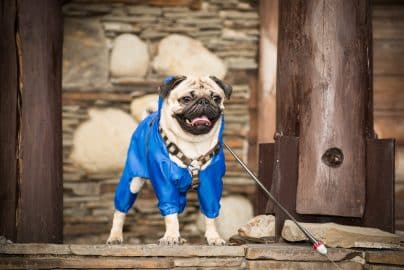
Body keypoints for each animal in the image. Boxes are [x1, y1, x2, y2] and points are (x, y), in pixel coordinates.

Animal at [107, 75, 232, 246]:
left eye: (216, 98)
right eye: (186, 99)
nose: (204, 101)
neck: (193, 142)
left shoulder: (211, 183)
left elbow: (210, 213)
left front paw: (213, 237)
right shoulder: (164, 181)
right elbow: (170, 212)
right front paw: (171, 236)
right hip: (133, 180)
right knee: (121, 210)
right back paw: (115, 236)